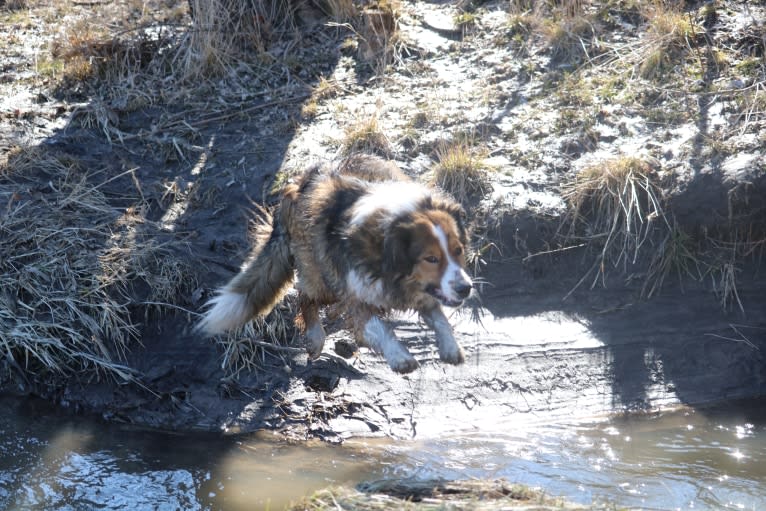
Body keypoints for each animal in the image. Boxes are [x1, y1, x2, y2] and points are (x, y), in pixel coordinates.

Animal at [198, 154, 474, 374]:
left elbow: (439, 317)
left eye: (458, 250)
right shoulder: (355, 291)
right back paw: (316, 337)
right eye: (431, 259)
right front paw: (400, 357)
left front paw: (450, 347)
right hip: (322, 275)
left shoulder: (424, 291)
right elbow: (376, 326)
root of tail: (297, 184)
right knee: (305, 296)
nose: (466, 289)